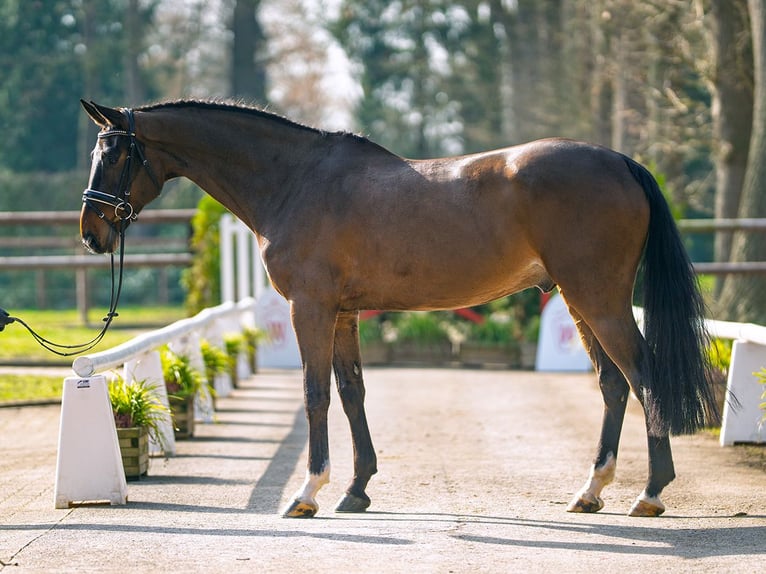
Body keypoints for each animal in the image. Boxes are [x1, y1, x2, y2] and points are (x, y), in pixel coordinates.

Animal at [79, 99, 719, 518]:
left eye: (113, 157)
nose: (91, 233)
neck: (296, 180)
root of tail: (622, 163)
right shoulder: (343, 313)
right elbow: (351, 392)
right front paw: (356, 489)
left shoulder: (312, 308)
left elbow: (315, 394)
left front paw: (307, 494)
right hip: (579, 300)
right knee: (614, 384)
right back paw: (591, 491)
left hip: (598, 298)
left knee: (643, 377)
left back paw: (650, 493)